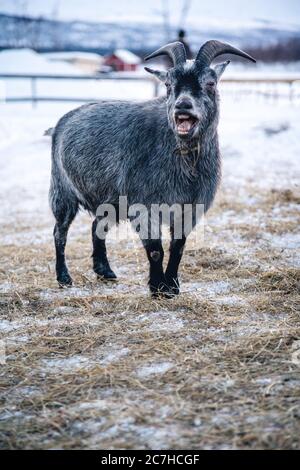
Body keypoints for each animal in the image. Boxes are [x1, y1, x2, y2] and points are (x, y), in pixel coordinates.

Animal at [49, 41, 255, 298]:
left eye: (210, 83)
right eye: (168, 84)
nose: (182, 105)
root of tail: (61, 122)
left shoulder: (190, 209)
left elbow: (178, 247)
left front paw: (173, 287)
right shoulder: (145, 206)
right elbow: (156, 249)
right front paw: (158, 288)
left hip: (111, 201)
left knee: (97, 227)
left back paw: (104, 271)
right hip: (62, 192)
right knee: (60, 233)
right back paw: (64, 277)